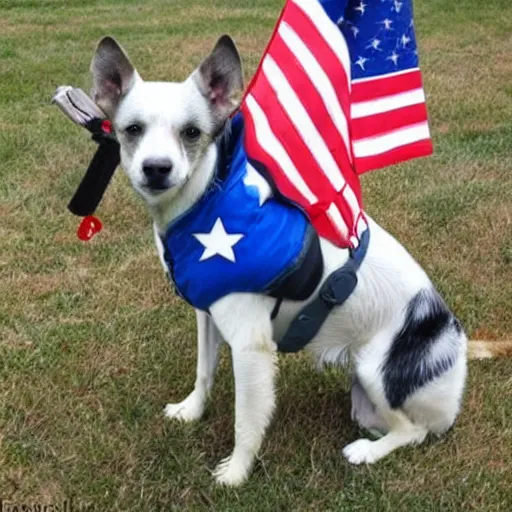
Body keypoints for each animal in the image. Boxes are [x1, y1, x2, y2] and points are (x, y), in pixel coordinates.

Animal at [90, 35, 506, 484]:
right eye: (133, 129)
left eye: (191, 132)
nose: (156, 169)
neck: (210, 199)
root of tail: (457, 345)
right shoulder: (208, 315)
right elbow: (204, 372)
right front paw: (192, 410)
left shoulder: (251, 346)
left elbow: (246, 422)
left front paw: (236, 475)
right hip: (363, 399)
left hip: (374, 372)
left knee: (414, 430)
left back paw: (368, 452)